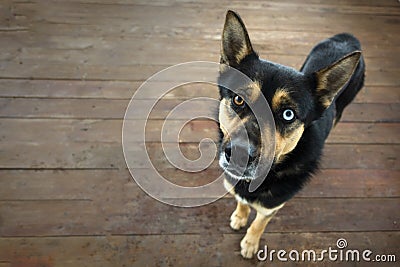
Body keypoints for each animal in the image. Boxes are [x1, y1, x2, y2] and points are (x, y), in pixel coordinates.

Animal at [217, 10, 364, 260]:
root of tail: (347, 37)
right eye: (238, 99)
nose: (239, 154)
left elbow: (258, 224)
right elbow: (241, 201)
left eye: (288, 114)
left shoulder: (271, 208)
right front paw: (239, 215)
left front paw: (250, 243)